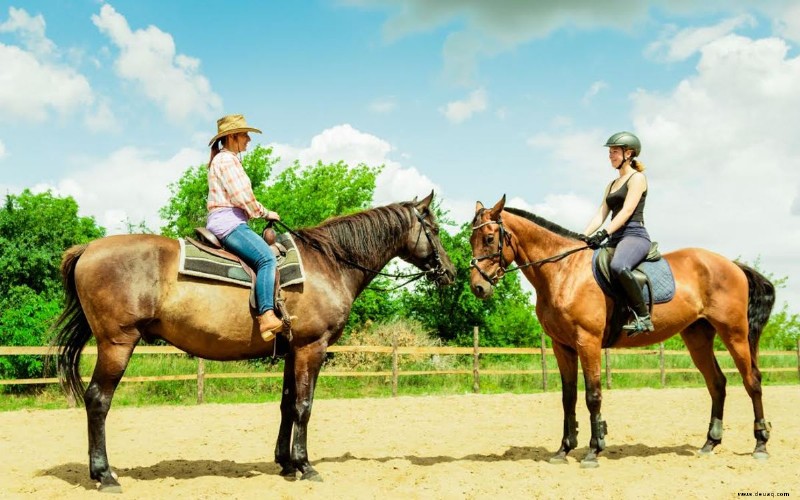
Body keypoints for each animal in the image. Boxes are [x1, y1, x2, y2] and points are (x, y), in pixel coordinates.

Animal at [51, 192, 456, 492]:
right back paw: (105, 475)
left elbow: (287, 404)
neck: (329, 264)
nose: (450, 272)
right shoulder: (312, 347)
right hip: (117, 343)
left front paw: (286, 463)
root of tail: (88, 249)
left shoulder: (293, 350)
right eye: (434, 228)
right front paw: (306, 466)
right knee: (98, 400)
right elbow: (305, 406)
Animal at [468, 194, 776, 468]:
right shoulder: (561, 346)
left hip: (734, 333)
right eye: (472, 240)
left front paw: (594, 450)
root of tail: (732, 265)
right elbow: (569, 397)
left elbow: (593, 395)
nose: (478, 288)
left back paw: (760, 445)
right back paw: (710, 443)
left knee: (752, 381)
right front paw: (563, 450)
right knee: (717, 383)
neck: (563, 271)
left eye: (489, 238)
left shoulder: (587, 341)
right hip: (697, 337)